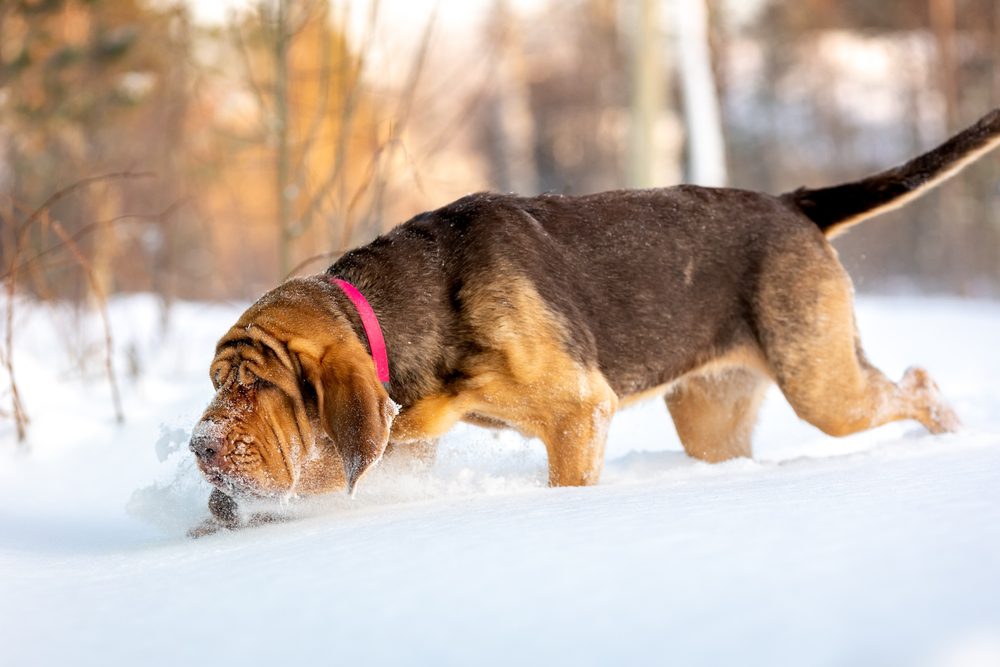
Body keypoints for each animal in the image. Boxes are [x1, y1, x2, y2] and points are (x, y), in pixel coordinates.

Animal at [189, 109, 1000, 536]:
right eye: (218, 382)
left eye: (258, 386)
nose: (199, 445)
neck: (401, 312)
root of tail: (793, 203)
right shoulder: (402, 438)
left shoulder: (579, 413)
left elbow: (567, 481)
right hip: (714, 417)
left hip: (822, 385)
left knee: (916, 383)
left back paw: (951, 429)